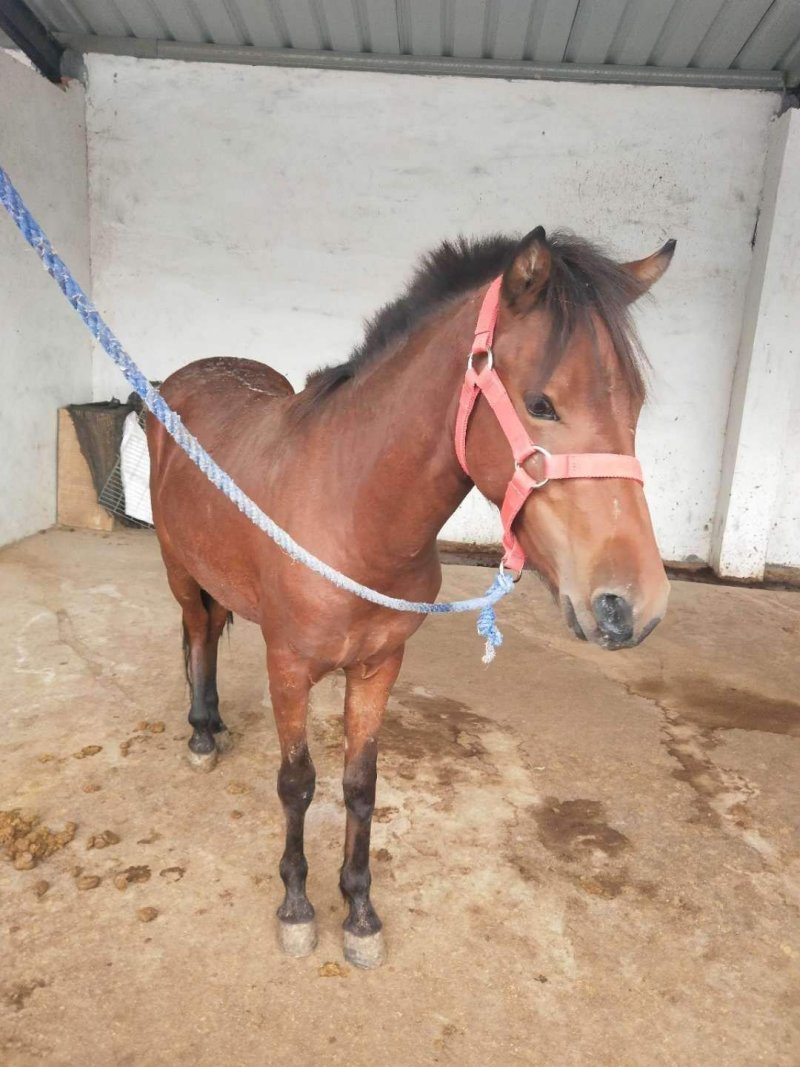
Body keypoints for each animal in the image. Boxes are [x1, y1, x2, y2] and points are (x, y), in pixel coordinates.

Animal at [146, 226, 674, 968]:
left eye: (635, 406)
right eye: (542, 403)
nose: (633, 604)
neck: (350, 512)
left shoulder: (379, 666)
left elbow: (360, 787)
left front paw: (360, 914)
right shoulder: (289, 668)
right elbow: (297, 784)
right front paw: (297, 907)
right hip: (178, 567)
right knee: (197, 632)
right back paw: (200, 731)